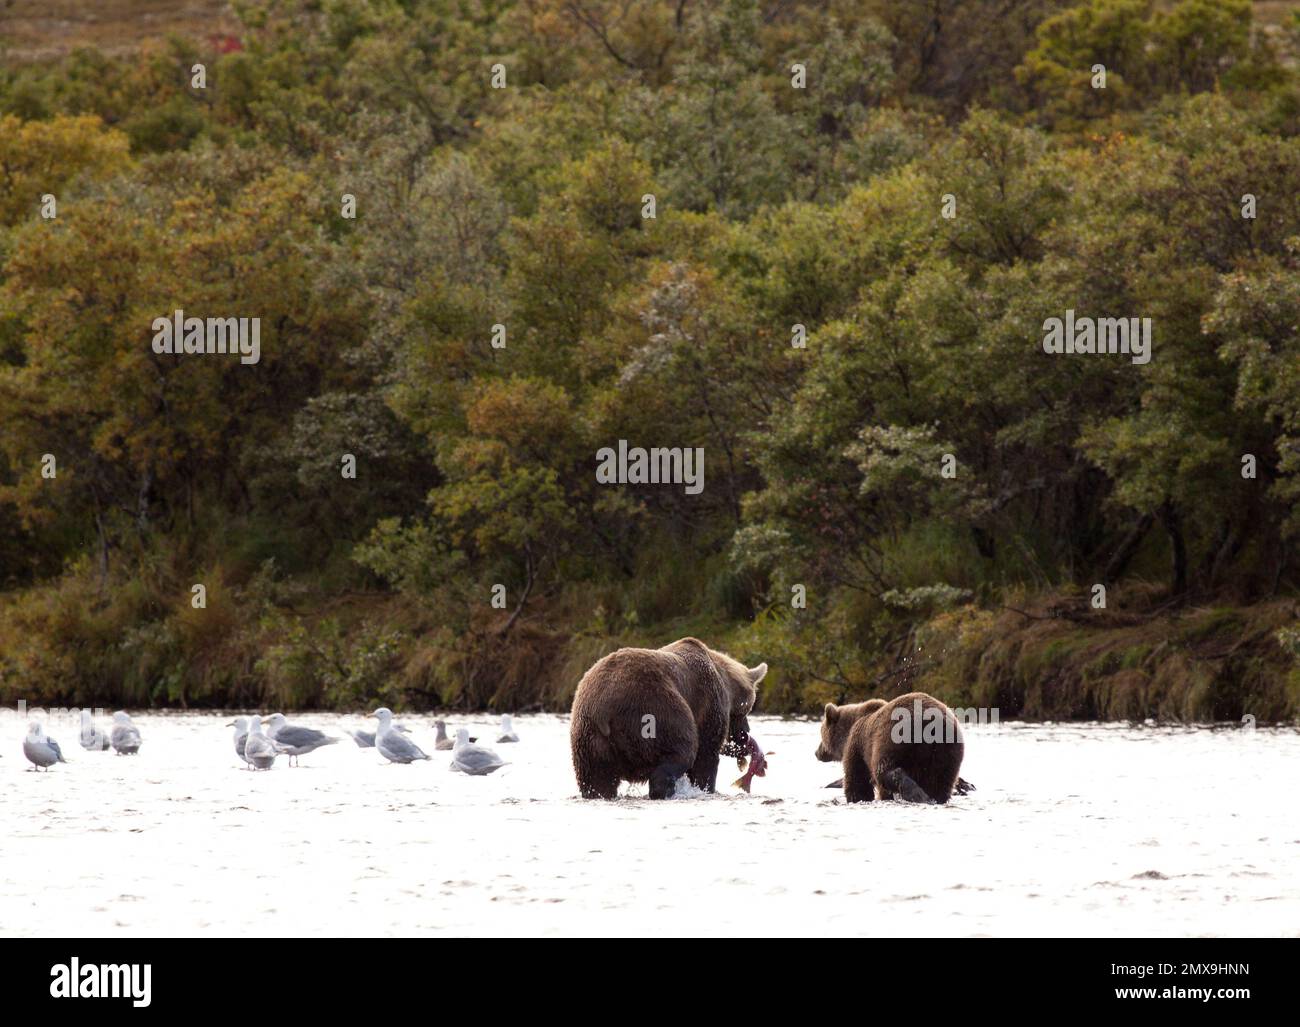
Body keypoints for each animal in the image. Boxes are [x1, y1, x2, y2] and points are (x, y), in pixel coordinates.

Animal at [566, 639, 759, 800]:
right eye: (746, 710)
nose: (746, 732)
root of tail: (603, 709)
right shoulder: (708, 703)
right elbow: (705, 758)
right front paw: (707, 788)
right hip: (655, 709)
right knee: (680, 751)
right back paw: (664, 790)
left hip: (589, 739)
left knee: (597, 780)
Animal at [811, 702, 967, 806]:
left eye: (821, 733)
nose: (817, 752)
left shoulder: (857, 745)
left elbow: (857, 779)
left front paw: (856, 797)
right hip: (948, 749)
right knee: (941, 781)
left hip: (893, 738)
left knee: (884, 770)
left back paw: (917, 794)